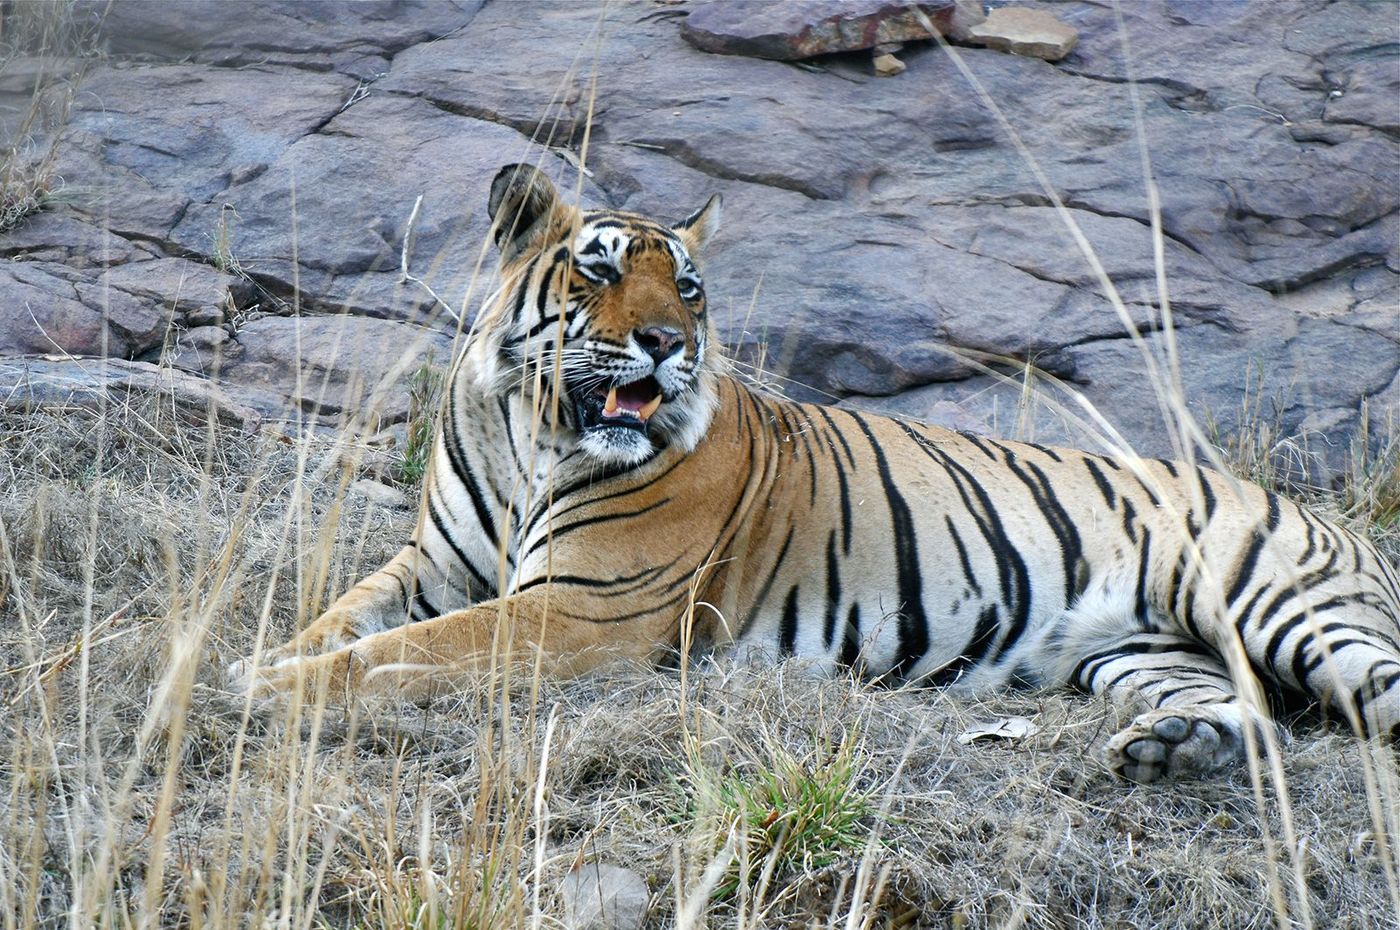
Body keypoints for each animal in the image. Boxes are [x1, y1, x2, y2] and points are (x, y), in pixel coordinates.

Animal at [231, 163, 1400, 783]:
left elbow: (397, 656)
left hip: (1285, 607)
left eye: (687, 286)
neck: (531, 428)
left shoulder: (574, 609)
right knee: (1245, 713)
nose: (665, 343)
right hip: (1141, 654)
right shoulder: (436, 565)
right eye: (599, 269)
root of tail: (1329, 518)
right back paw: (1173, 750)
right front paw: (259, 661)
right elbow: (342, 621)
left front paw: (259, 688)